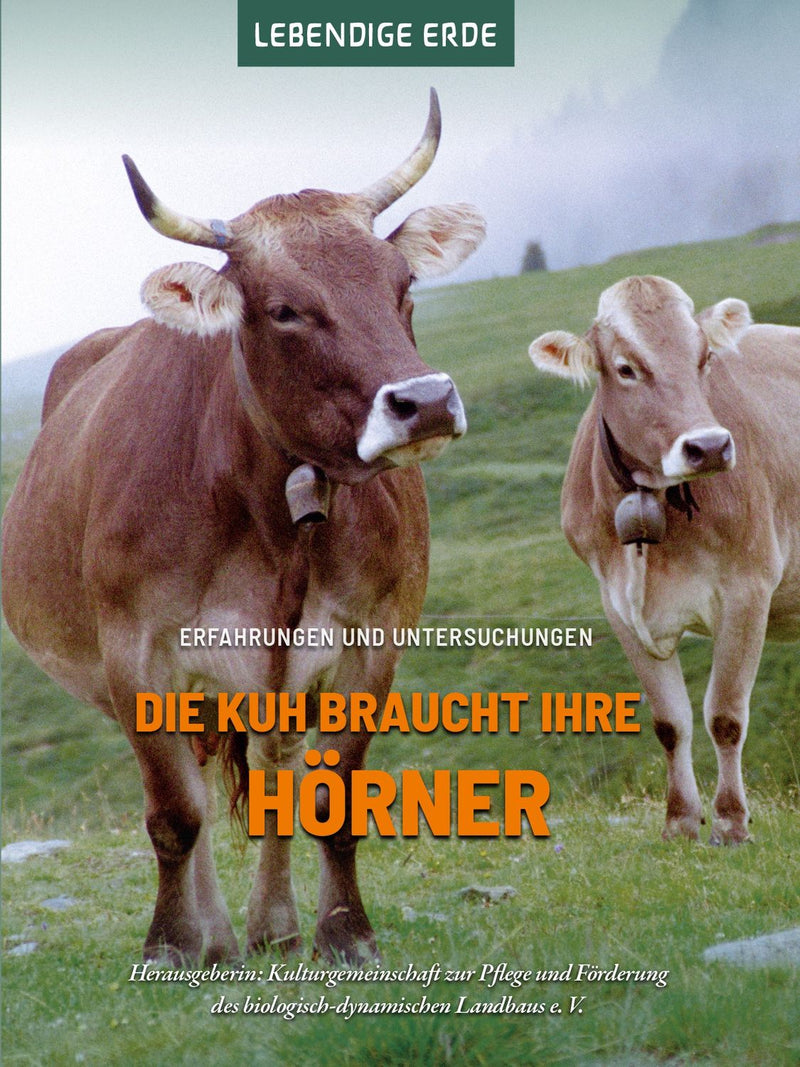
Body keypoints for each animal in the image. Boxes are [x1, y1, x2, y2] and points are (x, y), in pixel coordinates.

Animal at [1, 90, 485, 965]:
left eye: (402, 284)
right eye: (285, 310)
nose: (426, 401)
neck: (275, 524)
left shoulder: (374, 639)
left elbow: (331, 798)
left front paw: (345, 930)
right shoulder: (136, 653)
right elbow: (174, 813)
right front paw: (169, 942)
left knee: (274, 771)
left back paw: (272, 923)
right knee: (189, 787)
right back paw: (215, 933)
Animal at [528, 275, 800, 845]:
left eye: (704, 358)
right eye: (626, 368)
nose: (709, 447)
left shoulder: (749, 590)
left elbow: (725, 715)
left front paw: (730, 821)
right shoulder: (617, 606)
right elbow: (670, 722)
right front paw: (680, 821)